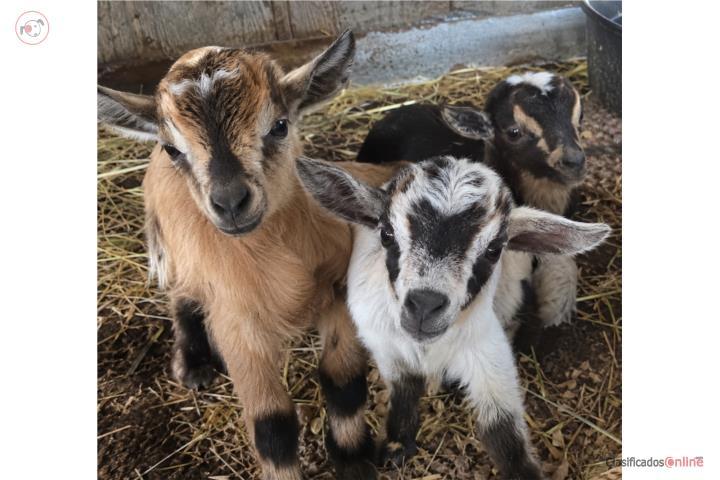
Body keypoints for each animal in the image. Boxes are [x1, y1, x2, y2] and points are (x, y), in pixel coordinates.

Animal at [97, 31, 400, 480]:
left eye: (280, 125)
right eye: (174, 150)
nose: (230, 202)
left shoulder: (337, 290)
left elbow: (343, 382)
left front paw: (353, 460)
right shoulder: (236, 323)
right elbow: (272, 425)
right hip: (175, 250)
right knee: (181, 297)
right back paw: (193, 364)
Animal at [297, 155, 609, 479]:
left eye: (494, 249)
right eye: (386, 234)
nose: (424, 305)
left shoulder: (487, 352)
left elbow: (505, 435)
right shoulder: (385, 346)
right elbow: (405, 387)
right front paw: (397, 445)